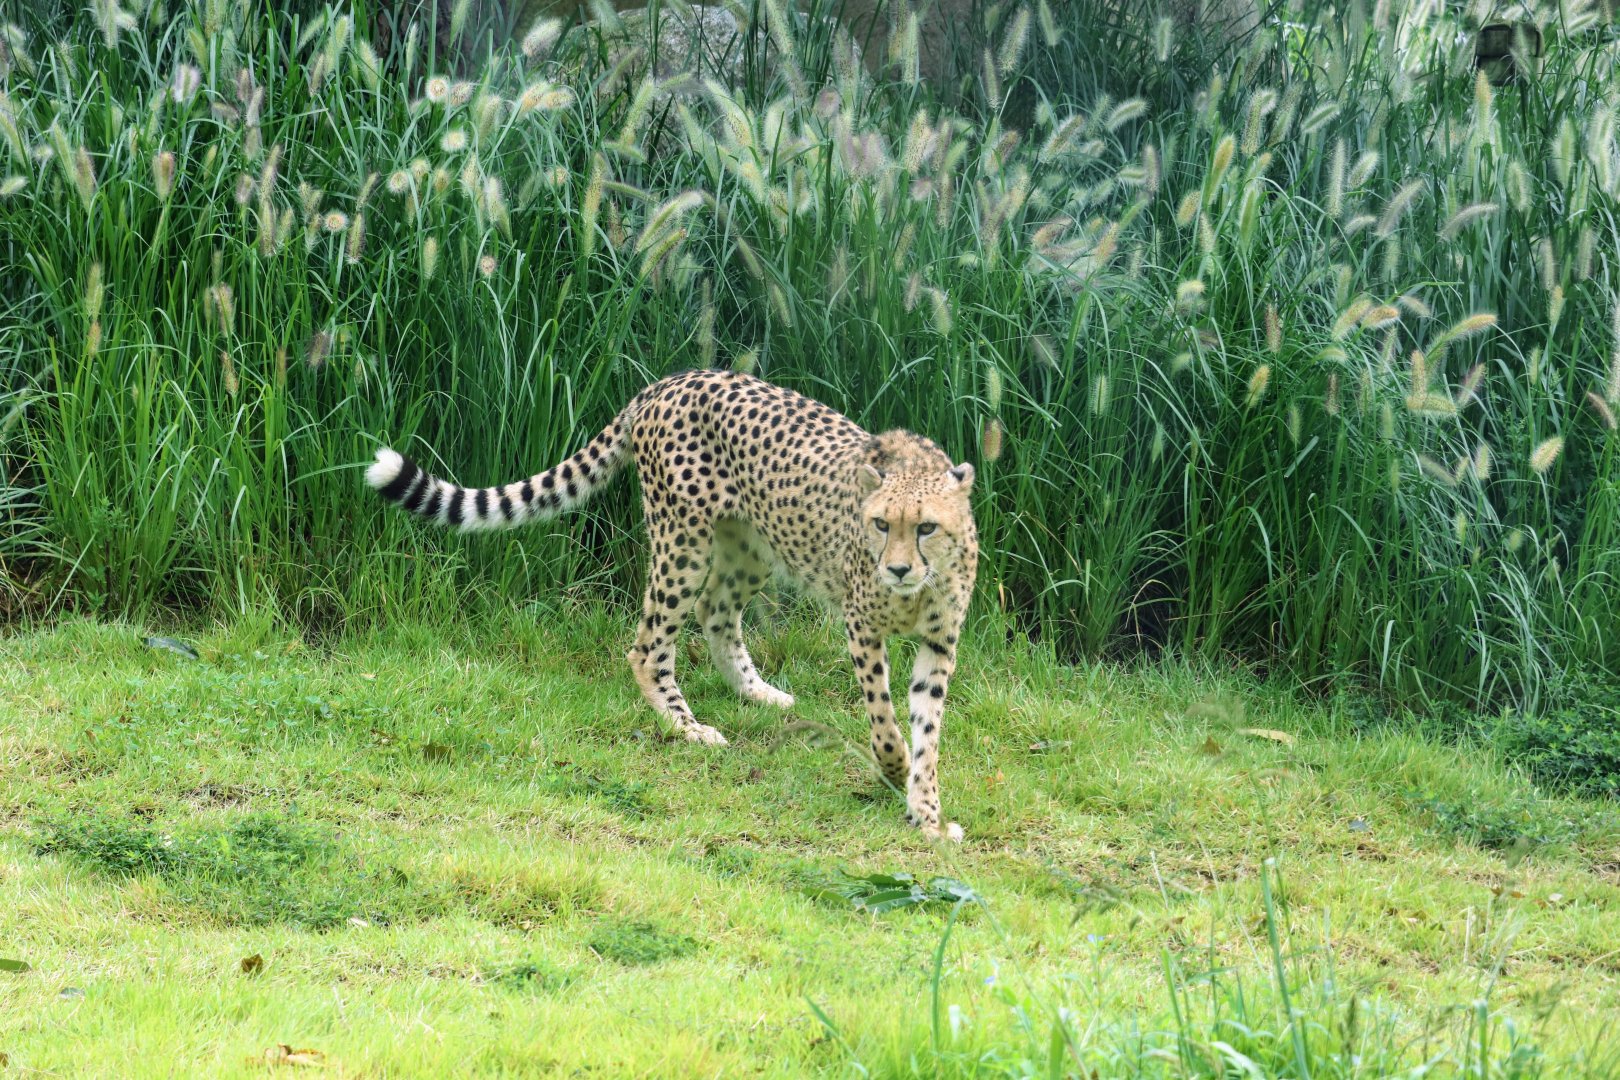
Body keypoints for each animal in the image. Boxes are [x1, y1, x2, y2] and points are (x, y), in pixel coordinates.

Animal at [364, 369, 978, 840]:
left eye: (925, 527)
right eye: (880, 524)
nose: (896, 569)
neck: (921, 585)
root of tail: (671, 380)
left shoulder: (939, 643)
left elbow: (928, 728)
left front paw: (927, 812)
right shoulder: (861, 626)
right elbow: (884, 715)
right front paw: (894, 766)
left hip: (749, 544)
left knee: (715, 614)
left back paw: (756, 693)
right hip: (683, 541)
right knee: (649, 644)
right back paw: (686, 724)